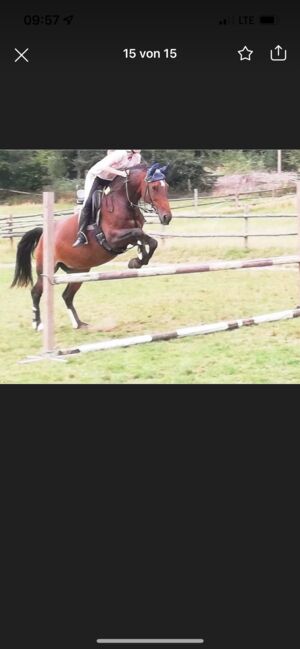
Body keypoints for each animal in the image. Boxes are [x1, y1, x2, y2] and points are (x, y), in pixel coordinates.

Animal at [10, 162, 172, 330]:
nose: (167, 217)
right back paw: (38, 324)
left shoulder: (128, 237)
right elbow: (139, 234)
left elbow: (148, 240)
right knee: (36, 292)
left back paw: (79, 324)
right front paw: (137, 261)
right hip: (46, 269)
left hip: (79, 271)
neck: (123, 201)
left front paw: (138, 260)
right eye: (154, 187)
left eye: (166, 186)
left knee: (67, 295)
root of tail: (43, 233)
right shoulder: (113, 238)